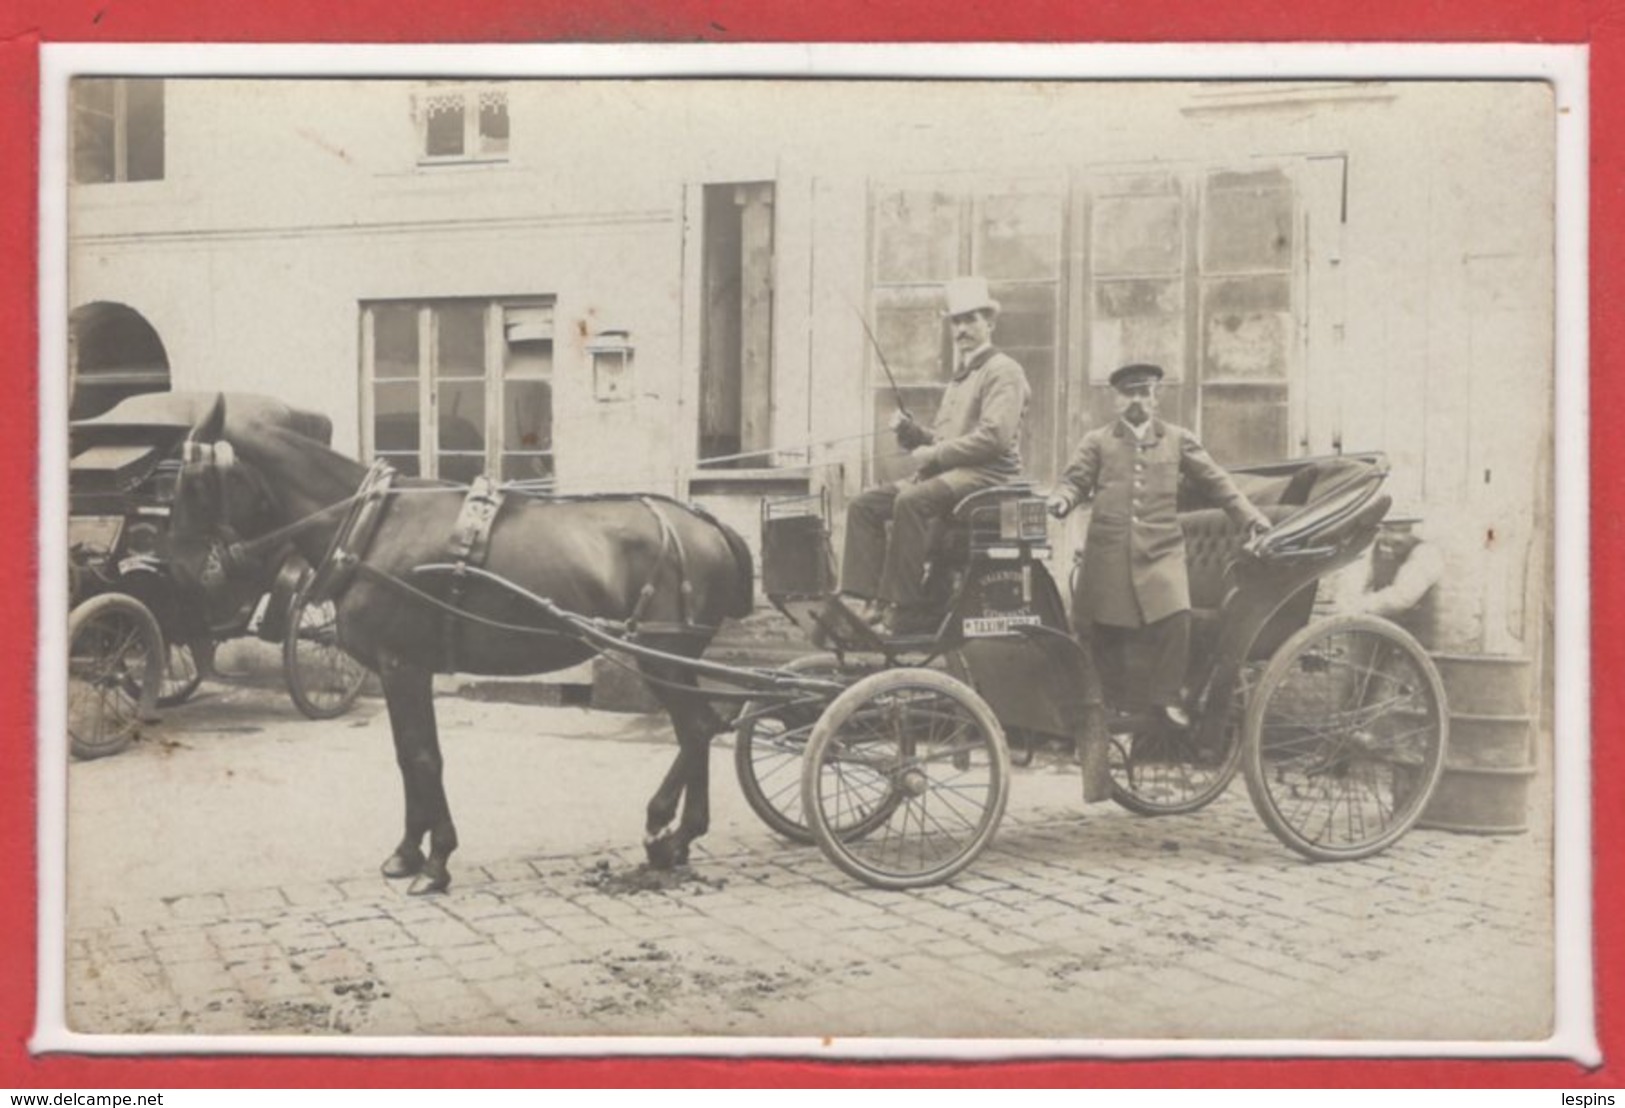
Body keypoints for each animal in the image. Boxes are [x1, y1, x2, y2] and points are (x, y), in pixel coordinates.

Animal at [164, 393, 754, 890]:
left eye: (193, 484)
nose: (178, 572)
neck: (373, 525)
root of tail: (708, 526)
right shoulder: (402, 669)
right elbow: (408, 755)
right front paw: (407, 852)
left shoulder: (403, 665)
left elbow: (423, 756)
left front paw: (436, 860)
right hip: (671, 658)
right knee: (699, 728)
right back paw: (671, 835)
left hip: (665, 655)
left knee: (696, 728)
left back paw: (671, 831)